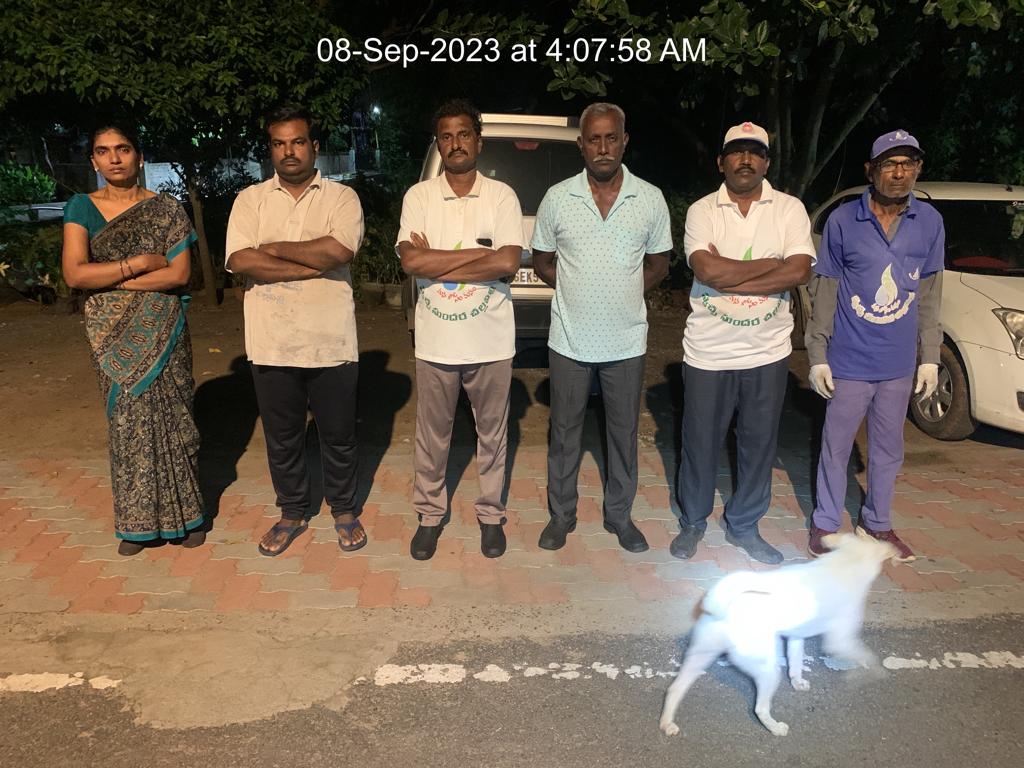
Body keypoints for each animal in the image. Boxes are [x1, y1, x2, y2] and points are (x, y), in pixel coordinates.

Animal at [659, 529, 897, 737]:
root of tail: (725, 607)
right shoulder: (841, 641)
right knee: (760, 708)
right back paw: (775, 728)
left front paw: (798, 682)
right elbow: (865, 655)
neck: (847, 561)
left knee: (675, 689)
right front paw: (873, 671)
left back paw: (667, 723)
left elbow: (796, 662)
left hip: (699, 656)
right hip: (768, 670)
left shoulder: (795, 637)